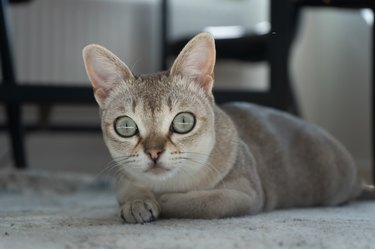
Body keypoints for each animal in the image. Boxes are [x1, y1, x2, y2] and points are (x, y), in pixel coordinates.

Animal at [82, 31, 374, 224]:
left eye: (183, 122)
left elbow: (201, 203)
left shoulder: (246, 195)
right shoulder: (124, 178)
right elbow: (128, 191)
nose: (153, 153)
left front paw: (164, 202)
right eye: (126, 127)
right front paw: (137, 203)